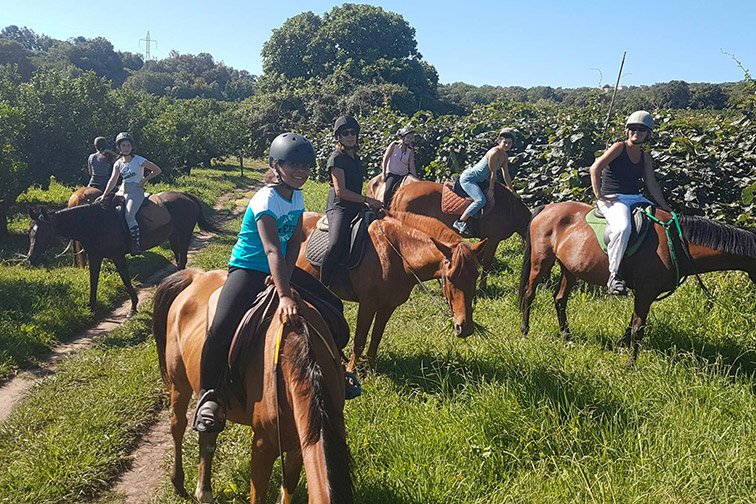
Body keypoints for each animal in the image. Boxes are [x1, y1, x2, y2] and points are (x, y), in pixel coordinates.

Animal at [27, 191, 214, 314]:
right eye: (30, 233)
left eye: (42, 233)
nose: (31, 258)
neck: (94, 222)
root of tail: (188, 197)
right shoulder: (95, 256)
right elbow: (93, 280)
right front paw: (91, 307)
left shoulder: (117, 256)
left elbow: (125, 279)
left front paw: (133, 306)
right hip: (174, 236)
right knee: (180, 261)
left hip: (184, 235)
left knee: (182, 260)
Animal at [152, 268, 352, 503]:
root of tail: (197, 276)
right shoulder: (263, 445)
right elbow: (258, 494)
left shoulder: (299, 442)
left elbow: (289, 487)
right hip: (179, 383)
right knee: (178, 426)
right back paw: (178, 483)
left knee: (207, 433)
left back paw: (204, 490)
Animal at [297, 211, 487, 372]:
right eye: (449, 277)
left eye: (476, 275)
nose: (464, 327)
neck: (397, 254)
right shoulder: (367, 305)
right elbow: (359, 339)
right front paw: (351, 370)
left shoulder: (388, 306)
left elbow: (376, 337)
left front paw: (372, 368)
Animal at [391, 180, 531, 291]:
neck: (510, 208)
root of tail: (402, 191)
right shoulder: (493, 238)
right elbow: (487, 262)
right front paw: (482, 288)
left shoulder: (484, 239)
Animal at [518, 202, 756, 365]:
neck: (676, 244)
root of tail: (548, 208)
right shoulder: (645, 293)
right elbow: (637, 329)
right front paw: (630, 364)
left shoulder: (644, 294)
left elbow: (631, 325)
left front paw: (620, 347)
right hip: (541, 262)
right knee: (530, 294)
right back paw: (525, 330)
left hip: (571, 270)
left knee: (560, 300)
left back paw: (566, 336)